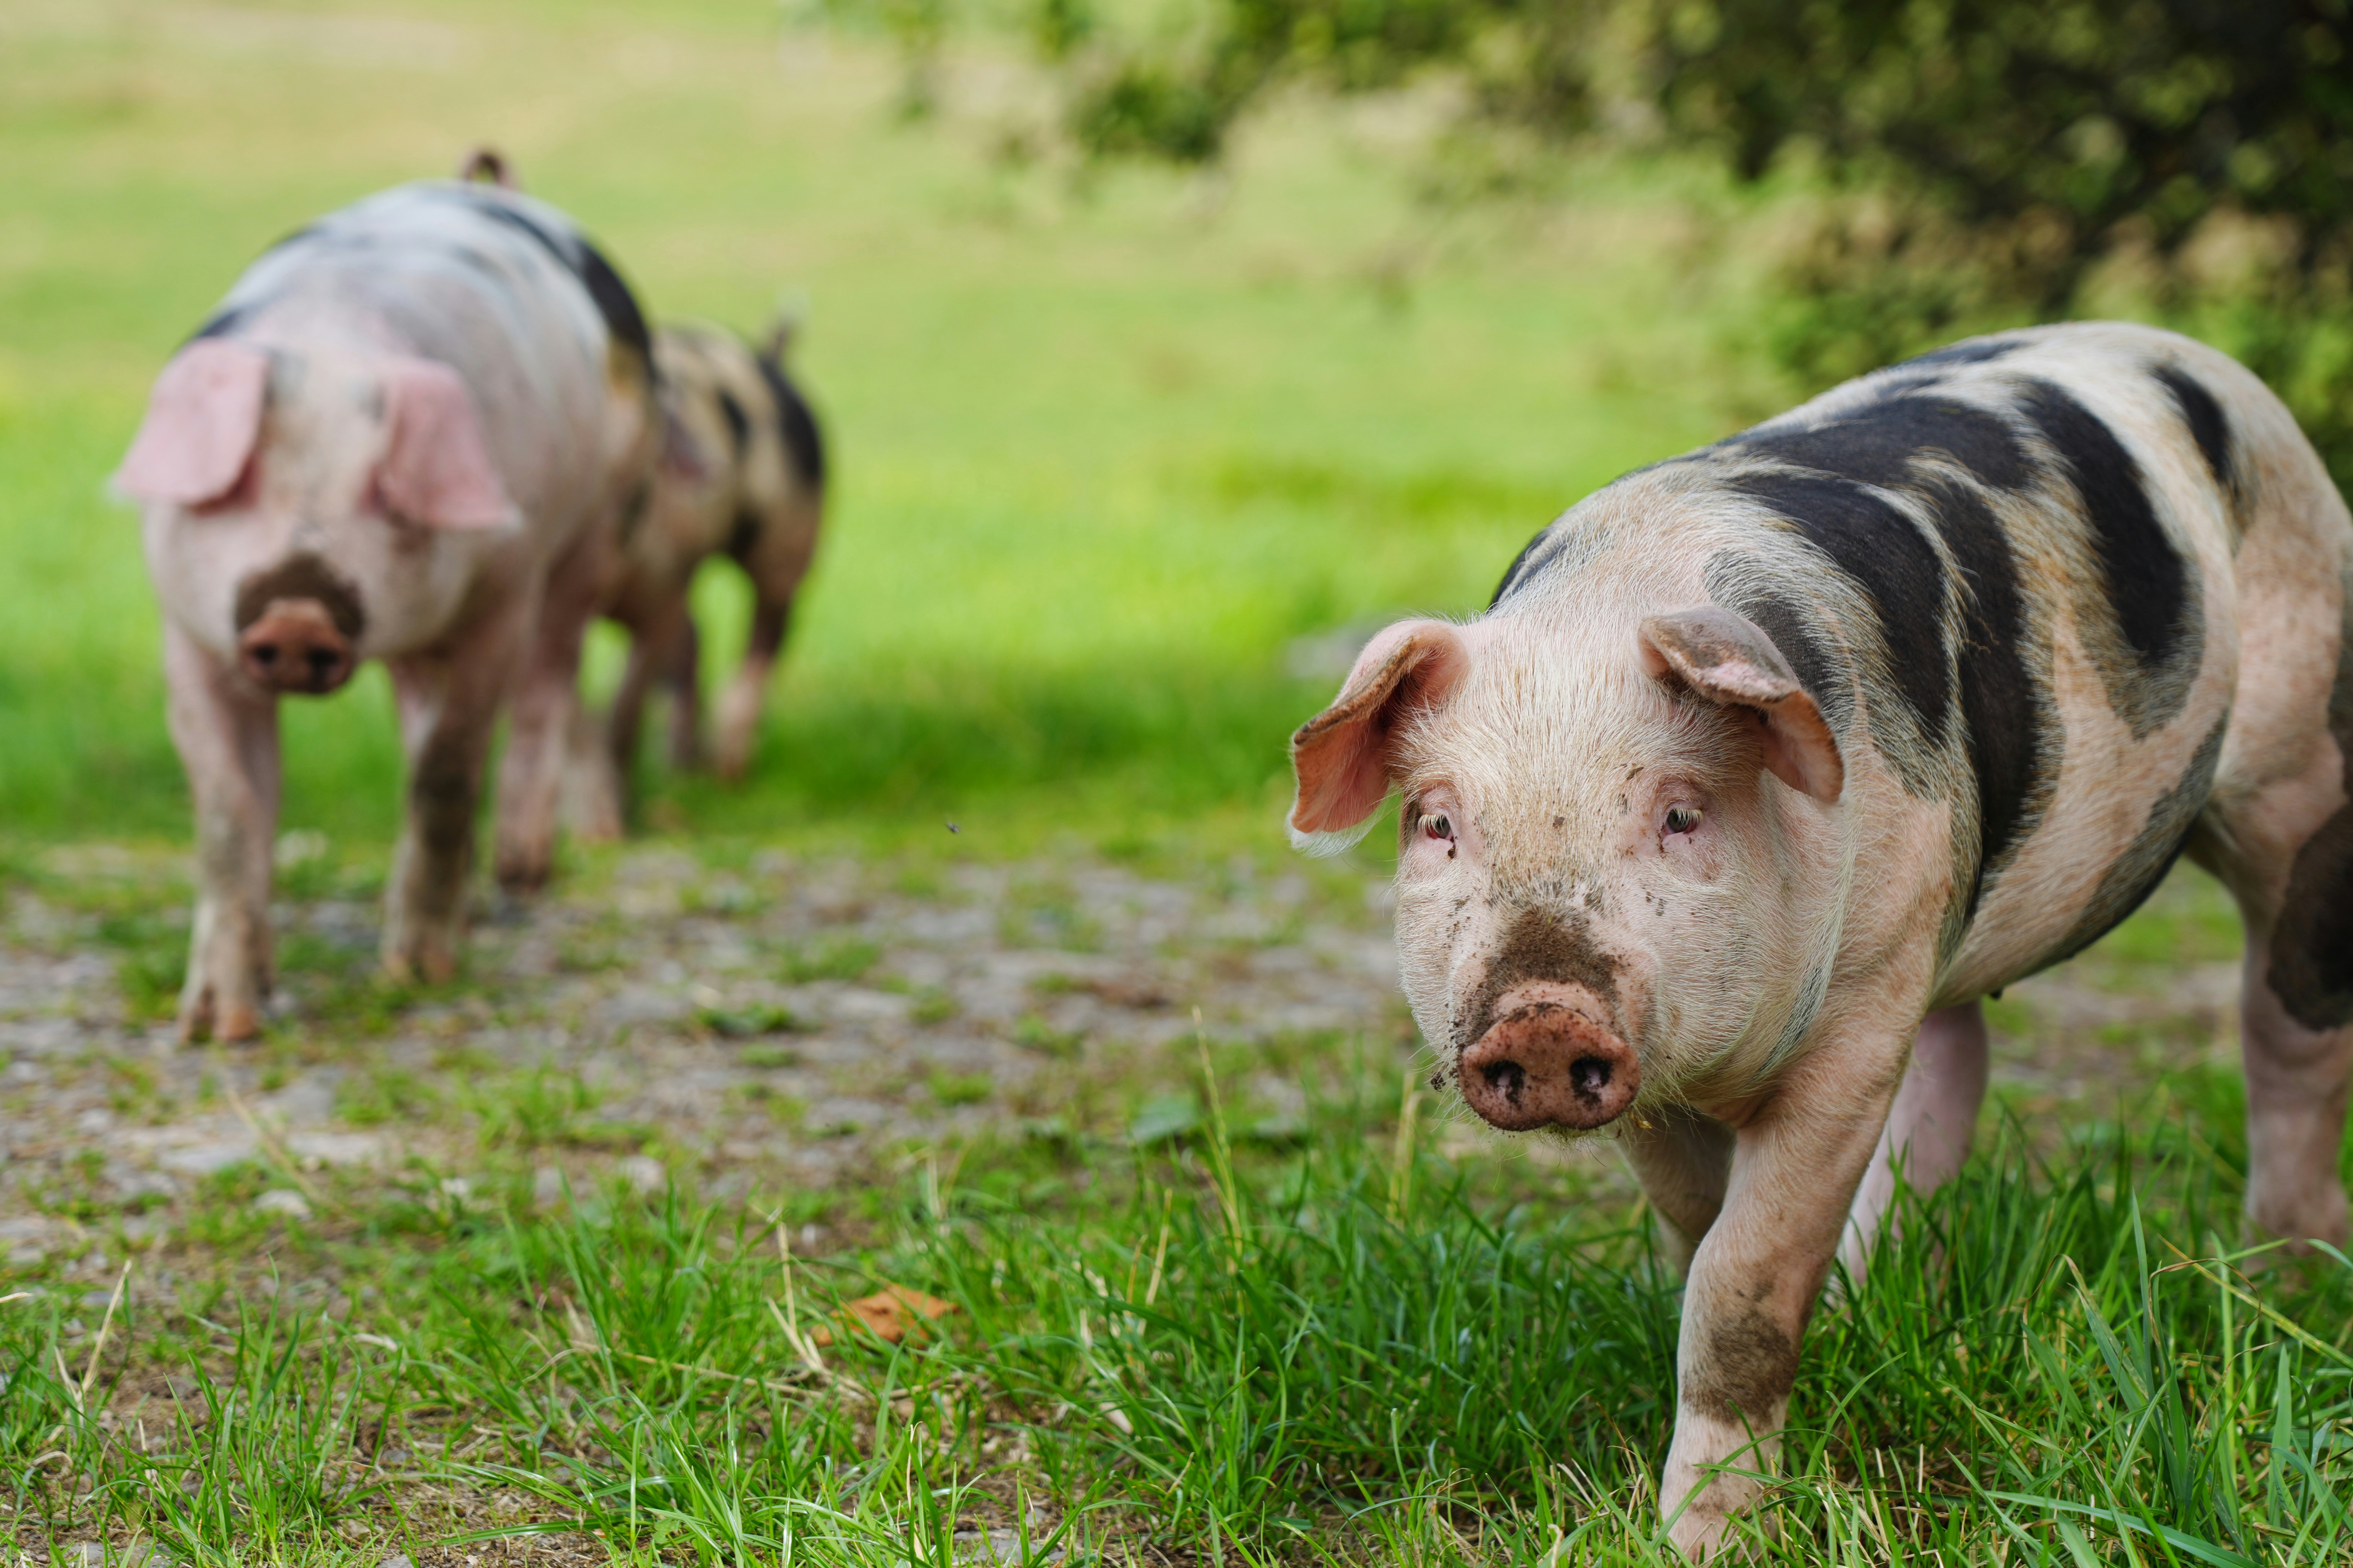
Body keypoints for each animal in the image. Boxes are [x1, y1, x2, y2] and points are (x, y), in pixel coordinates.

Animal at [115, 171, 658, 1042]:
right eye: (243, 479)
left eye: (384, 489)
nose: (296, 615)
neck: (332, 345)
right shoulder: (190, 635)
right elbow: (229, 811)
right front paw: (220, 1025)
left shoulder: (498, 600)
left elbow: (446, 771)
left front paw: (416, 973)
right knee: (418, 716)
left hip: (597, 532)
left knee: (548, 680)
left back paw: (520, 872)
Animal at [1287, 322, 2353, 1556]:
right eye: (1438, 823)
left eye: (1681, 813)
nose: (1543, 1008)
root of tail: (2188, 353)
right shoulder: (1659, 1081)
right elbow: (1698, 1233)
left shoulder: (1845, 1033)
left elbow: (1741, 1280)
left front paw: (1704, 1541)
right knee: (1951, 1069)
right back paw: (1869, 1302)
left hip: (2299, 765)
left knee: (2287, 1026)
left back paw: (2284, 1275)